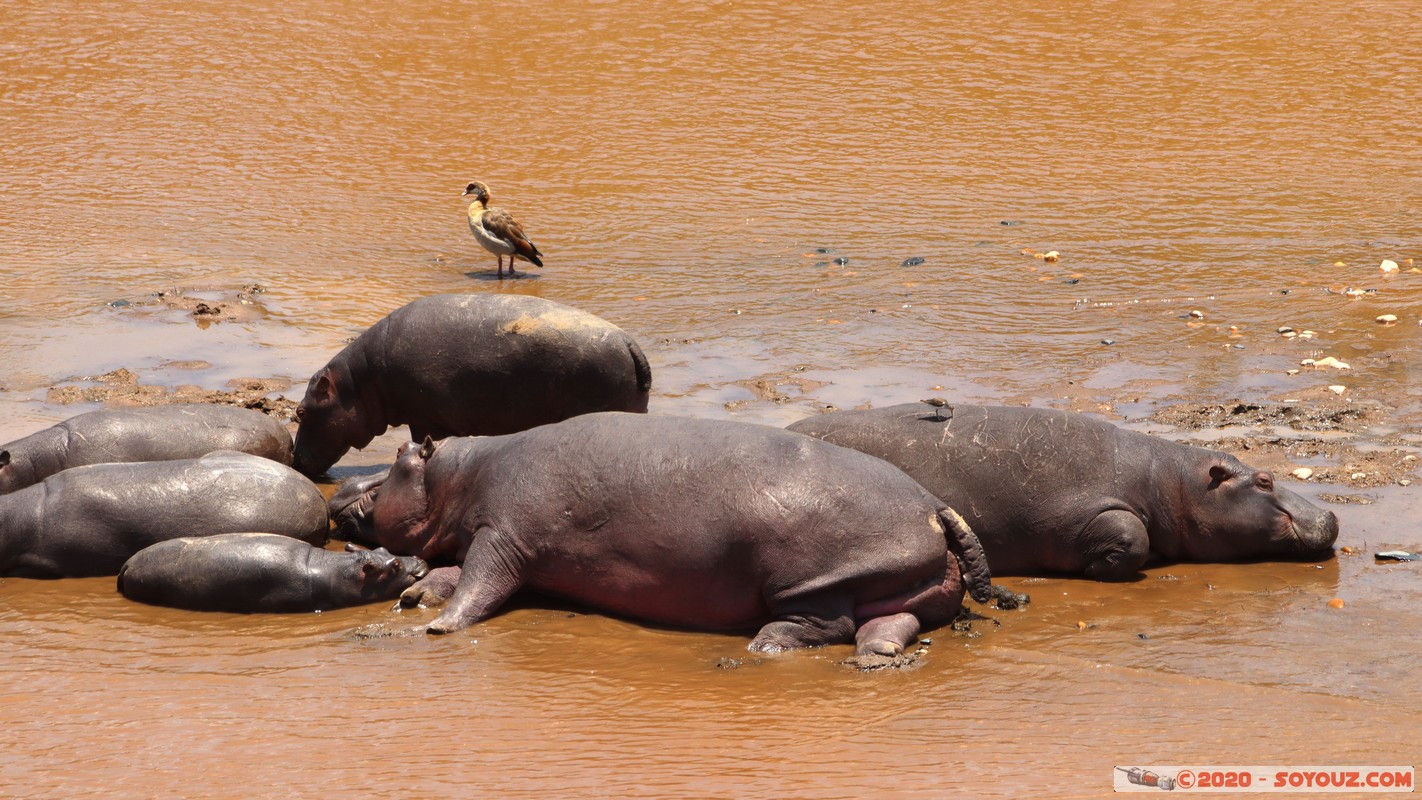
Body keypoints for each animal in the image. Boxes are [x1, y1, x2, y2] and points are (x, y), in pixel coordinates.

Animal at [371, 413, 994, 657]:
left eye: (395, 459)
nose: (357, 501)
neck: (459, 473)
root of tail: (933, 505)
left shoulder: (503, 534)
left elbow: (479, 582)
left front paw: (438, 628)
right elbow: (454, 572)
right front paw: (416, 594)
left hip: (810, 576)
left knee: (827, 622)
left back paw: (765, 645)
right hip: (903, 583)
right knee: (892, 621)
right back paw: (877, 655)